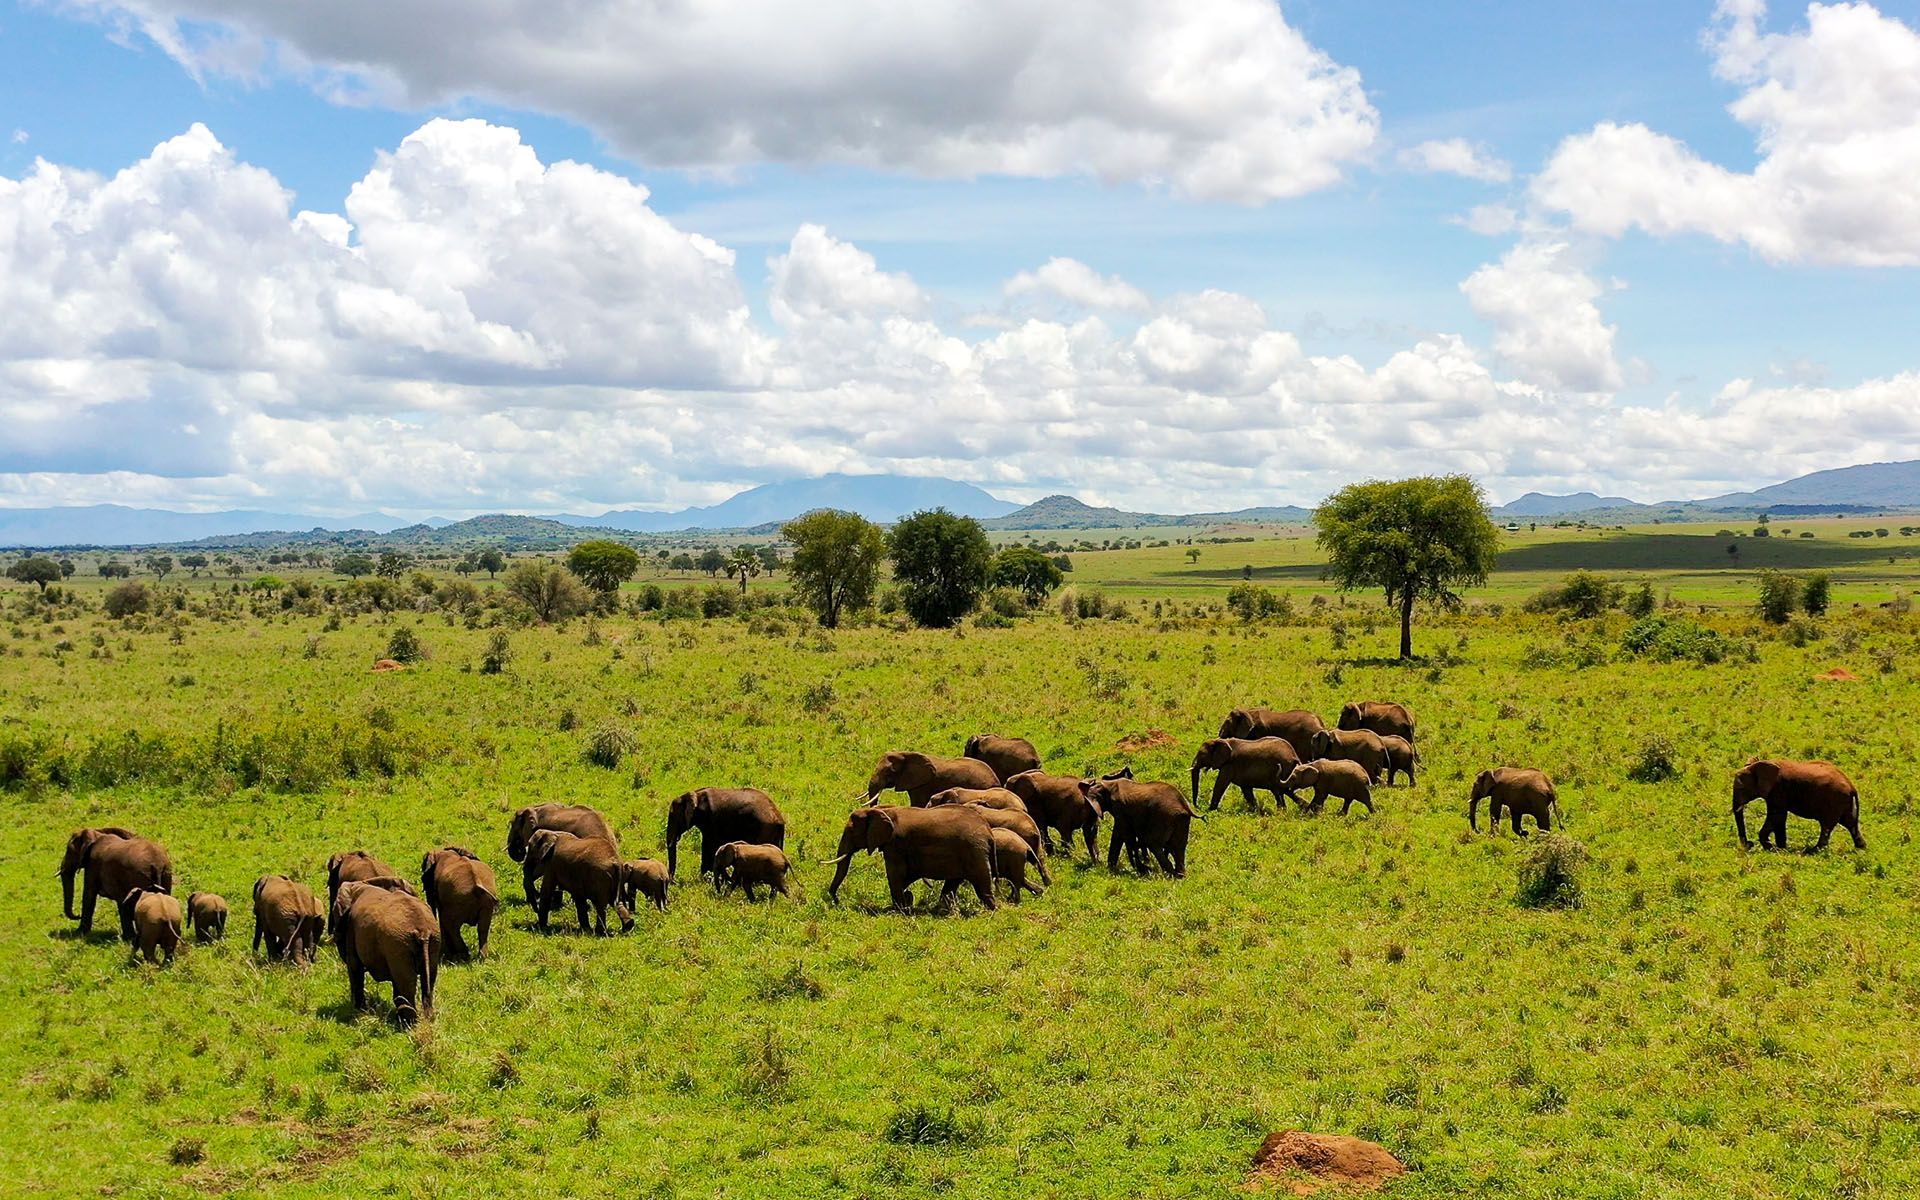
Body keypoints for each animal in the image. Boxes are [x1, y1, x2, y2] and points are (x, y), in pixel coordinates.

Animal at [332, 881, 440, 1024]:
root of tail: (423, 930)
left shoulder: (351, 928)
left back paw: (409, 1024)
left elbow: (354, 966)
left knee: (407, 981)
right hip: (432, 942)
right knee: (428, 979)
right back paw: (426, 1019)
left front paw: (359, 1011)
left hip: (398, 944)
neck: (358, 885)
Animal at [824, 804, 998, 911]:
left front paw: (899, 909)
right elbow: (906, 876)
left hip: (974, 850)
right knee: (953, 883)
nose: (836, 901)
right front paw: (907, 901)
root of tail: (988, 831)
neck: (883, 809)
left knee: (981, 884)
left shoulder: (895, 844)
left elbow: (895, 873)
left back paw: (991, 910)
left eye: (852, 831)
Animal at [1733, 759, 1864, 851]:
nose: (1749, 844)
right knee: (1851, 824)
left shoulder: (1778, 789)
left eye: (1741, 788)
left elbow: (1776, 816)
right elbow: (1780, 819)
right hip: (1843, 803)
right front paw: (1781, 849)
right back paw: (1861, 849)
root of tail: (1852, 787)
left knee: (1827, 826)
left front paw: (1771, 848)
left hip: (1834, 802)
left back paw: (1813, 851)